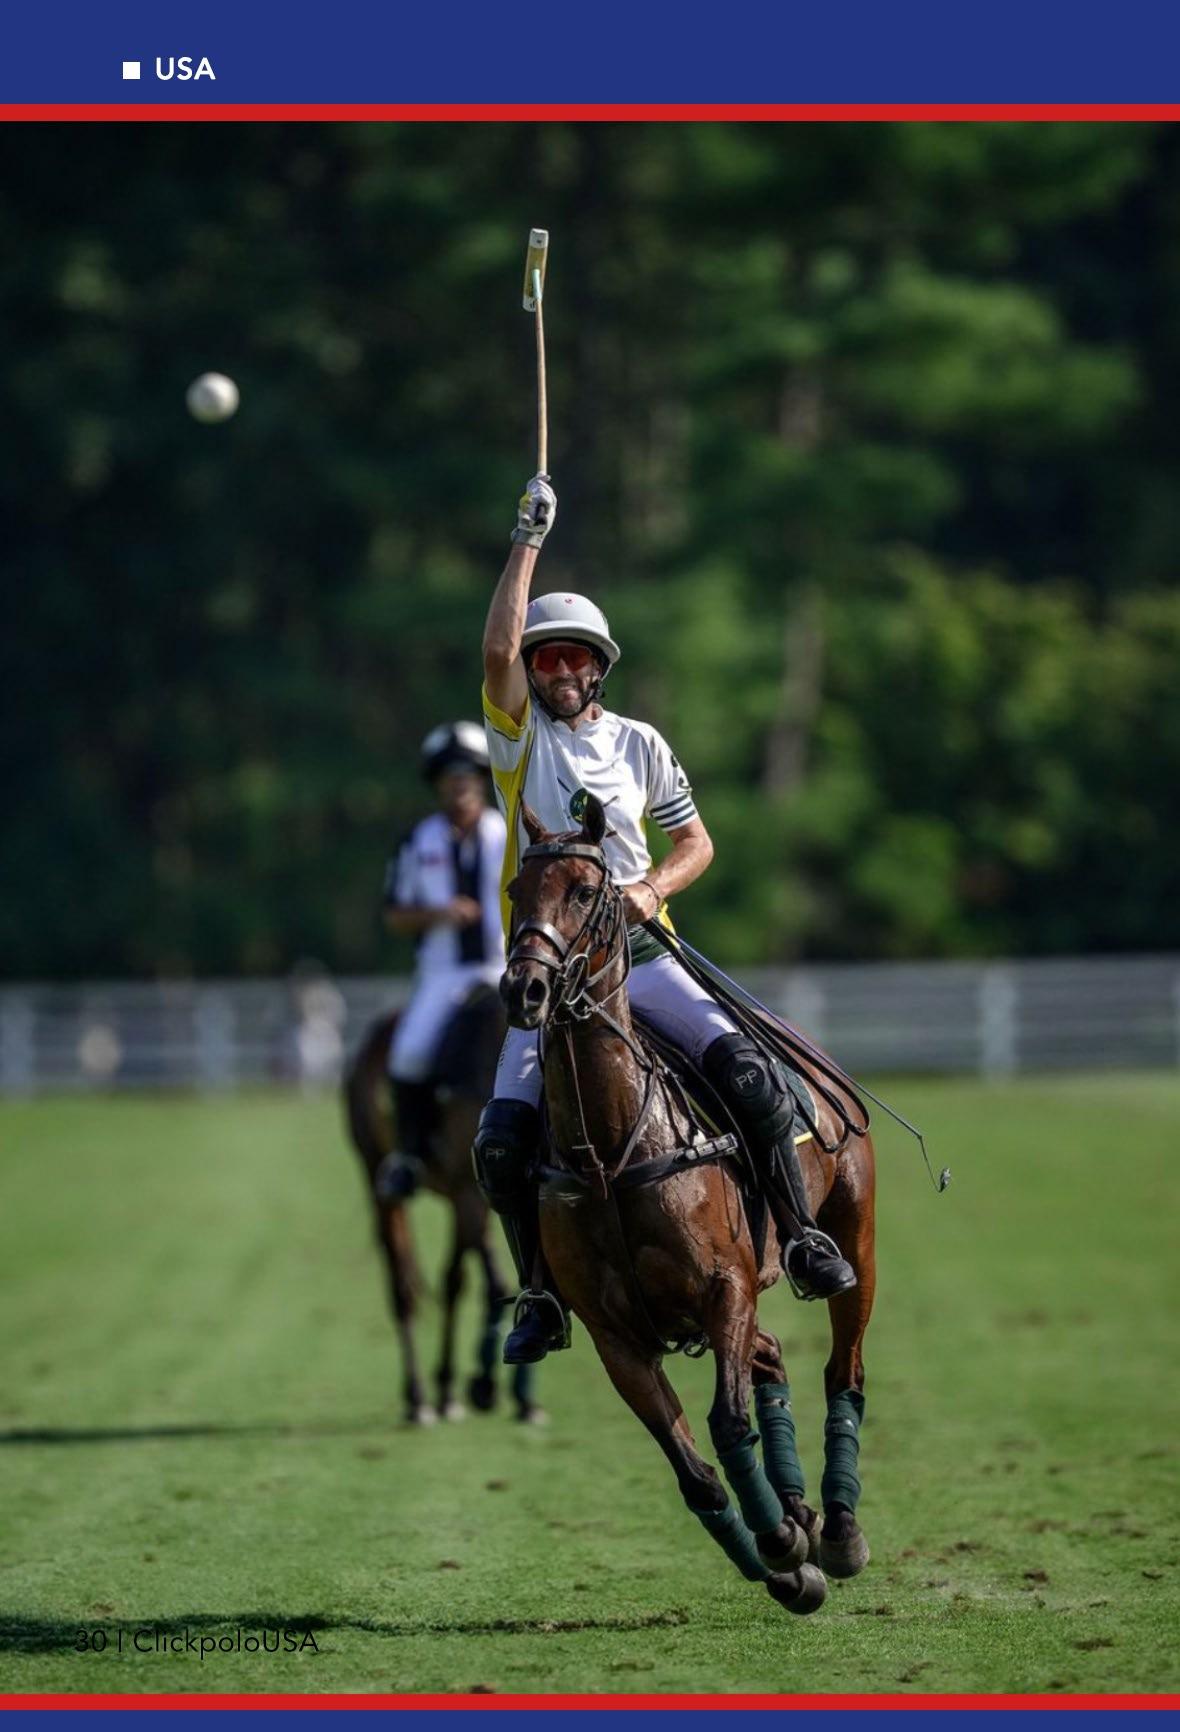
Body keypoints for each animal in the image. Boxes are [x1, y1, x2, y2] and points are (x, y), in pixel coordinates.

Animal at [343, 984, 539, 1425]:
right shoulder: (471, 1191)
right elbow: (475, 1281)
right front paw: (468, 1385)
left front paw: (518, 1393)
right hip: (377, 1176)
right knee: (401, 1282)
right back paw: (417, 1397)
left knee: (464, 1275)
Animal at [499, 795, 877, 1614]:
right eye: (514, 890)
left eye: (587, 891)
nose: (525, 991)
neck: (612, 1154)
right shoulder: (616, 1336)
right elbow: (694, 1470)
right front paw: (779, 1555)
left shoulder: (725, 1286)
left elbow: (729, 1424)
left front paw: (786, 1546)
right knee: (772, 1357)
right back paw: (799, 1511)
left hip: (855, 1232)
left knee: (844, 1367)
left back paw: (835, 1526)